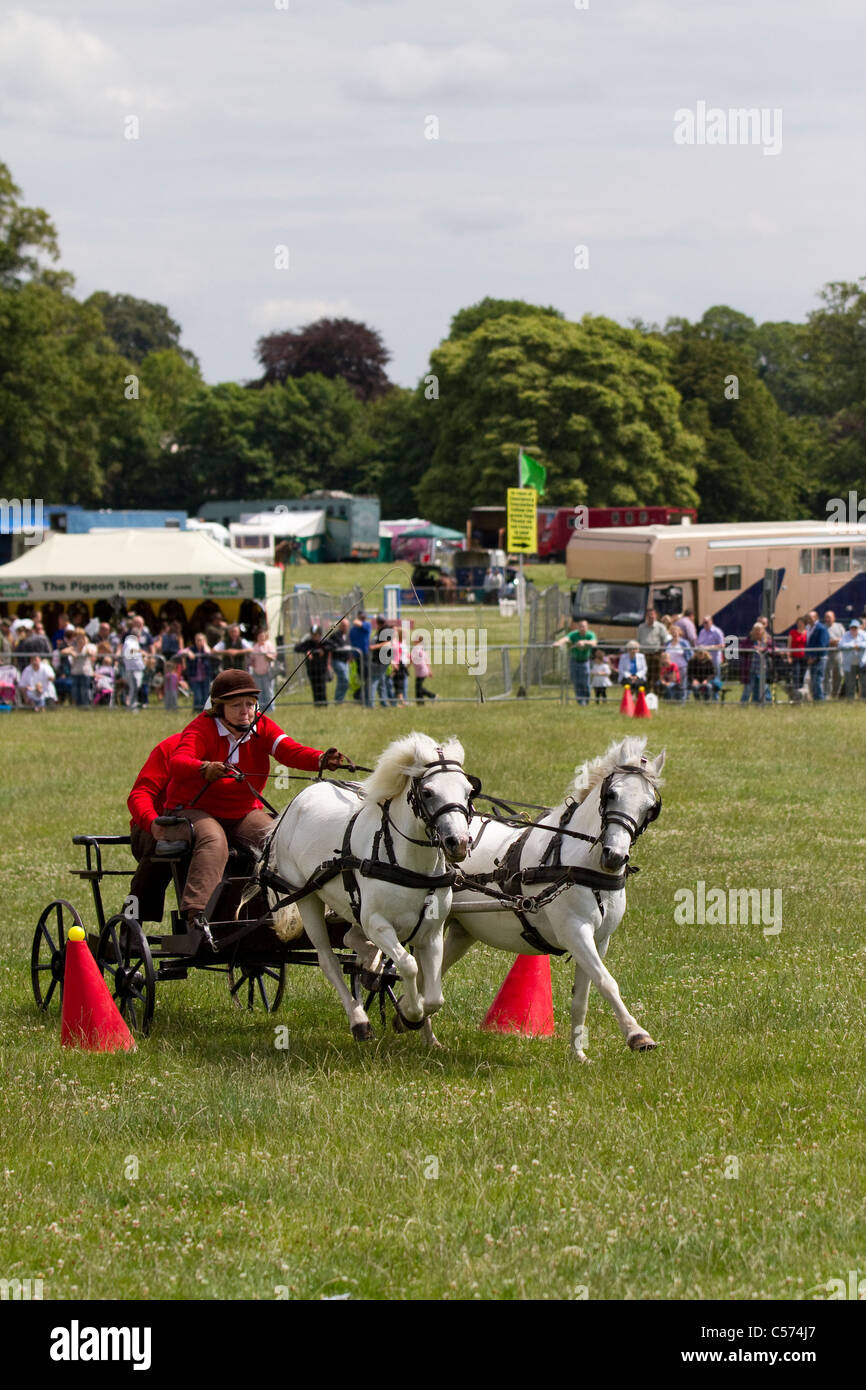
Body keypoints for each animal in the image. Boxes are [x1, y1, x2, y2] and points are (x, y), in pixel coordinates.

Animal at [258, 733, 475, 1039]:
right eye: (428, 792)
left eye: (468, 791)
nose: (459, 842)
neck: (406, 862)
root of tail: (303, 795)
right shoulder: (377, 923)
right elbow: (408, 966)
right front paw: (411, 1014)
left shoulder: (431, 934)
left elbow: (434, 996)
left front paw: (409, 1017)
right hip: (307, 898)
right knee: (329, 960)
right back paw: (359, 1019)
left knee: (352, 939)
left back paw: (369, 964)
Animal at [425, 733, 664, 1056]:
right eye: (612, 794)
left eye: (650, 807)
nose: (614, 856)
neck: (578, 865)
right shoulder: (575, 932)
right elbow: (607, 982)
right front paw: (637, 1034)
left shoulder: (599, 940)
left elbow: (582, 997)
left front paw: (578, 1054)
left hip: (461, 931)